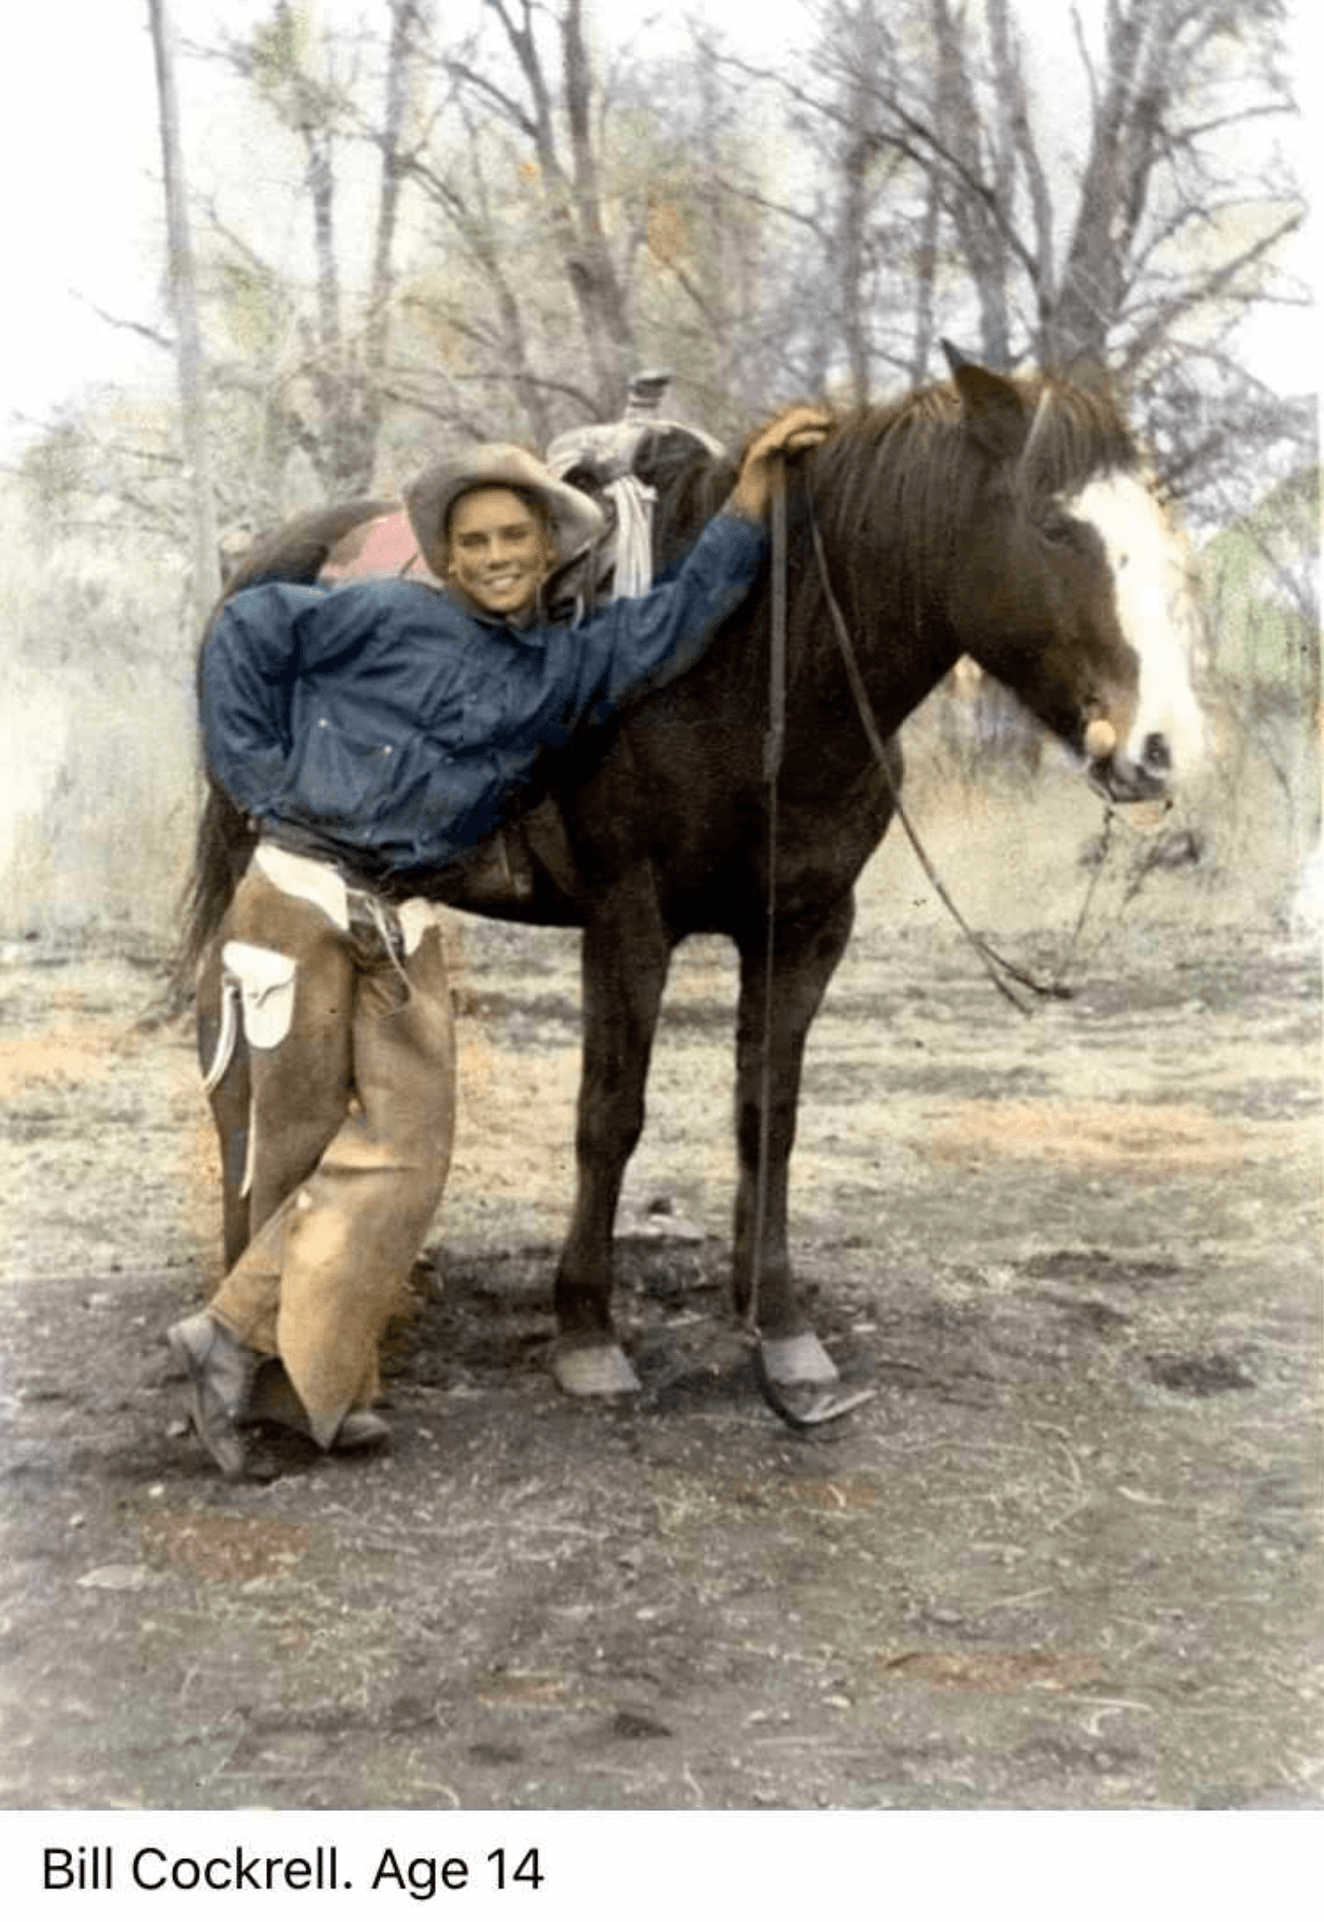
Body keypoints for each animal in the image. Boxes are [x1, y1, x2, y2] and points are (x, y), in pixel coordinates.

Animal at [180, 353, 1206, 1414]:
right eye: (1055, 527)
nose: (1161, 747)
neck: (756, 667)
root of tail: (259, 563)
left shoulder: (807, 927)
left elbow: (769, 1116)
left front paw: (778, 1324)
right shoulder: (629, 919)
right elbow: (610, 1116)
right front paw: (586, 1330)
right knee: (234, 1058)